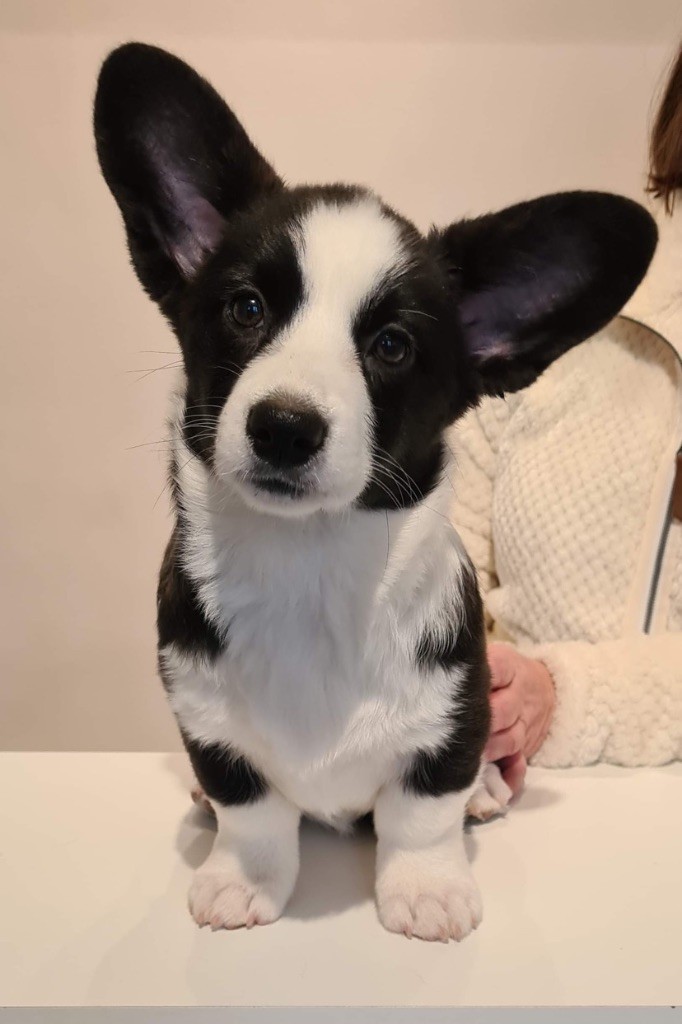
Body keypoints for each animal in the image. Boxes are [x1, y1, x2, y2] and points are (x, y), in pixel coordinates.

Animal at [94, 43, 656, 941]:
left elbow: (422, 810)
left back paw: (488, 794)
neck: (310, 567)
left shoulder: (454, 711)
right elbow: (250, 809)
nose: (285, 427)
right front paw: (241, 879)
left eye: (392, 346)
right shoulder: (207, 722)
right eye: (246, 307)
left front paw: (426, 890)